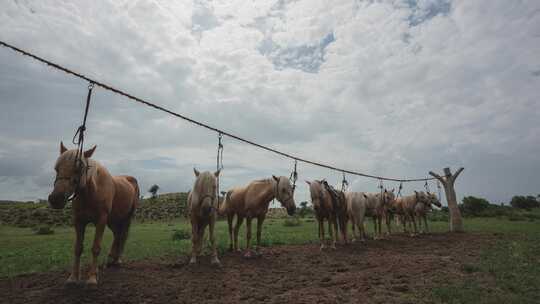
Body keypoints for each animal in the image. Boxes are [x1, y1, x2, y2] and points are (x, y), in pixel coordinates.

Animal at [47, 142, 139, 288]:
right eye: (57, 168)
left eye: (79, 168)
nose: (56, 199)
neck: (91, 193)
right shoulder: (79, 221)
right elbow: (78, 248)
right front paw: (73, 278)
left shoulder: (101, 220)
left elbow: (96, 248)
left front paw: (92, 278)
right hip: (112, 220)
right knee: (117, 235)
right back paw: (111, 259)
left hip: (126, 218)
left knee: (123, 236)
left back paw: (117, 260)